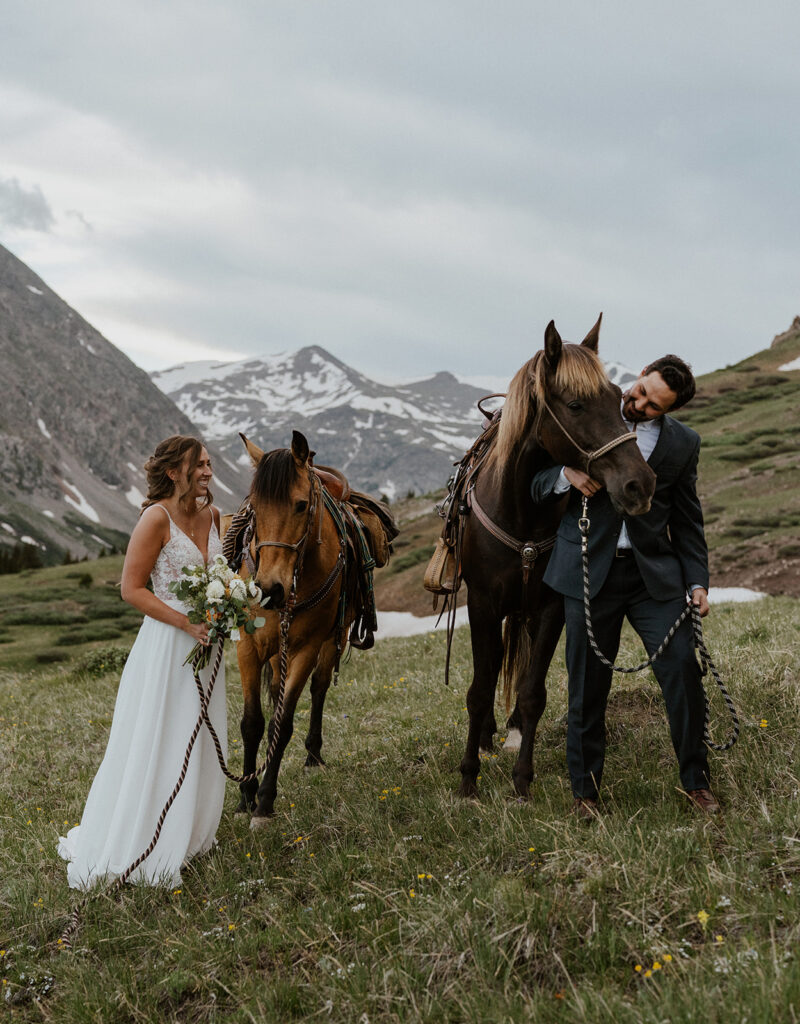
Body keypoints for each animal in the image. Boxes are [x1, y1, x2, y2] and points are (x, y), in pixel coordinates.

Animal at [230, 430, 356, 823]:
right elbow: (252, 723)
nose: (270, 589)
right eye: (254, 508)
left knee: (319, 688)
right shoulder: (248, 647)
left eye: (301, 506)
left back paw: (313, 756)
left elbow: (281, 724)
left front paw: (264, 802)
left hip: (334, 637)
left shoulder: (306, 647)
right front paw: (245, 796)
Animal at [454, 317, 655, 798]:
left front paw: (522, 780)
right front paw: (469, 776)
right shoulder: (481, 603)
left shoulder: (549, 607)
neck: (521, 508)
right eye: (577, 404)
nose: (640, 484)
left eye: (619, 398)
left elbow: (532, 693)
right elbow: (479, 689)